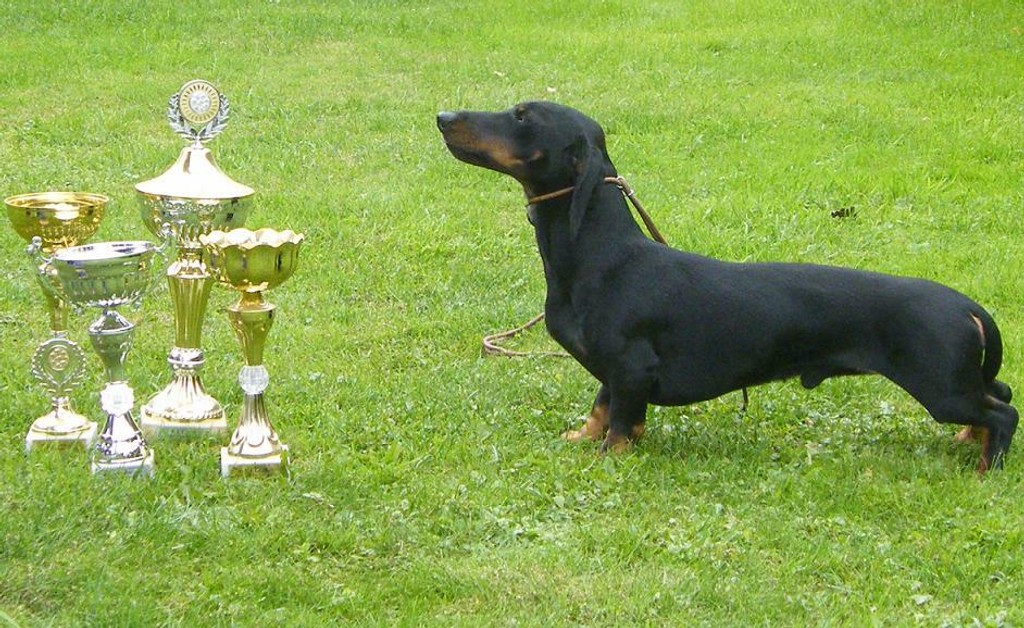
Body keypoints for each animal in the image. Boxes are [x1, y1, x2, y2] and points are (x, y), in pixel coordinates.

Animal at [436, 101, 1018, 472]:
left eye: (522, 116)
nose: (442, 118)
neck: (601, 257)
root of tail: (967, 305)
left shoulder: (631, 366)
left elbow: (622, 422)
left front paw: (609, 458)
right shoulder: (614, 370)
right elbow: (602, 407)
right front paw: (580, 437)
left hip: (940, 387)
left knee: (1004, 411)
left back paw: (986, 468)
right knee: (1000, 394)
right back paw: (971, 442)